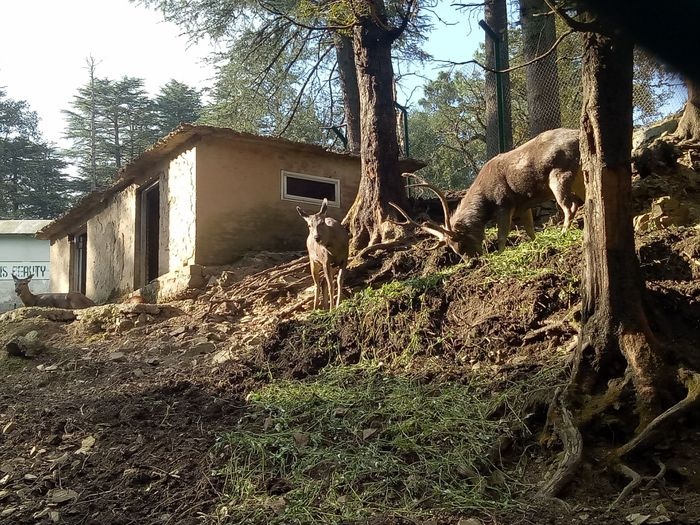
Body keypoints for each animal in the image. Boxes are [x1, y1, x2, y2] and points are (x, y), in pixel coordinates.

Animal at [390, 128, 584, 258]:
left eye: (462, 243)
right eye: (453, 250)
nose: (472, 261)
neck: (486, 201)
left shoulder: (504, 203)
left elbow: (502, 235)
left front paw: (499, 253)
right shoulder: (523, 205)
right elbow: (530, 231)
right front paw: (536, 243)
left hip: (559, 174)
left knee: (570, 206)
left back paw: (563, 232)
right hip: (579, 177)